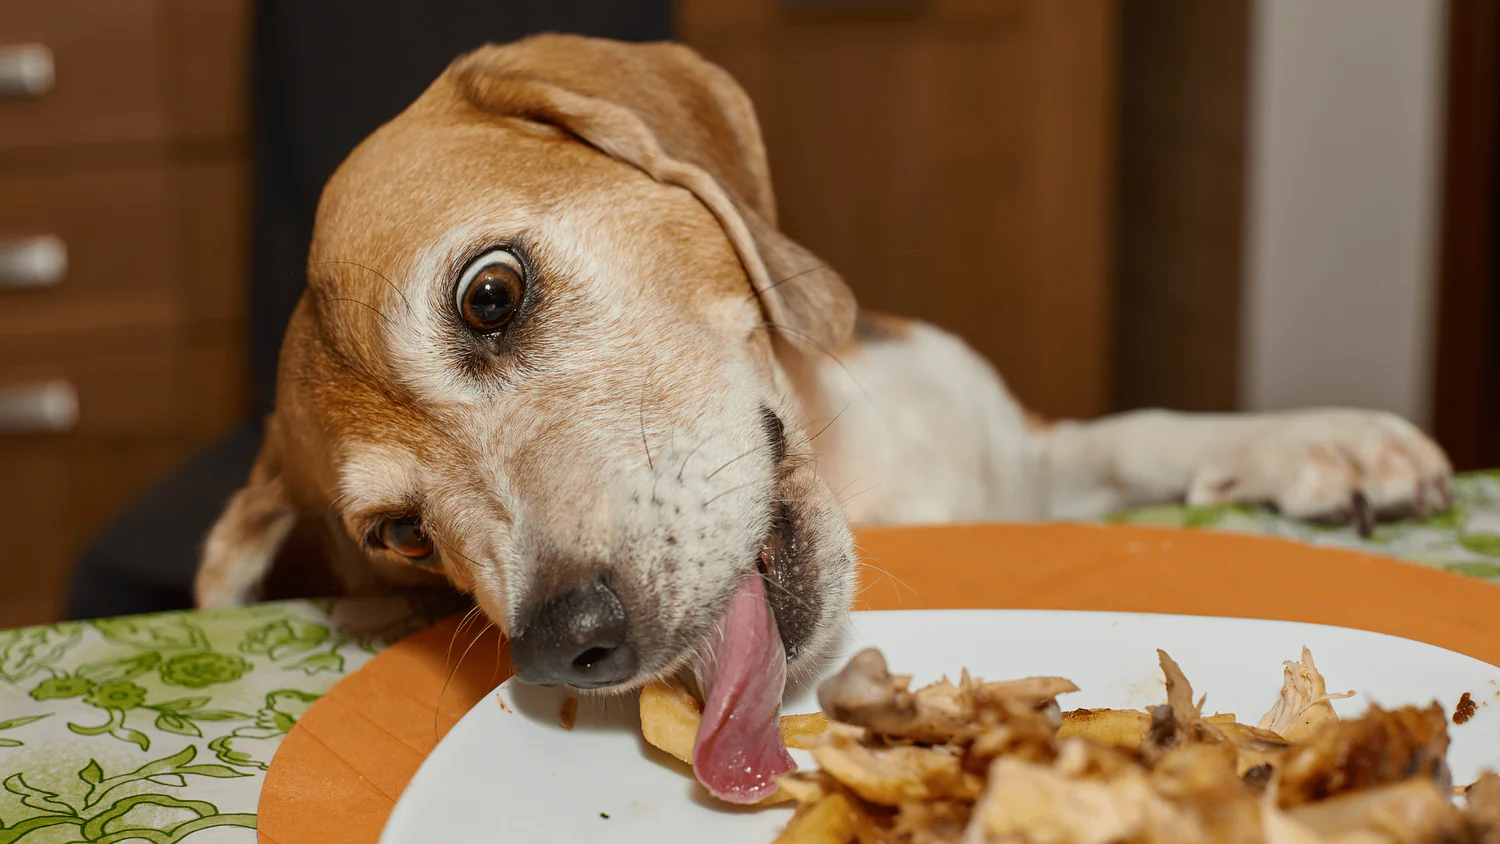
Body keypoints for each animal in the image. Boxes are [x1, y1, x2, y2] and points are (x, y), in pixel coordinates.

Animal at [193, 36, 1458, 803]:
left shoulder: (1022, 453)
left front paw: (1326, 441)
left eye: (490, 295)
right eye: (399, 535)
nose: (565, 642)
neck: (862, 478)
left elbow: (1145, 428)